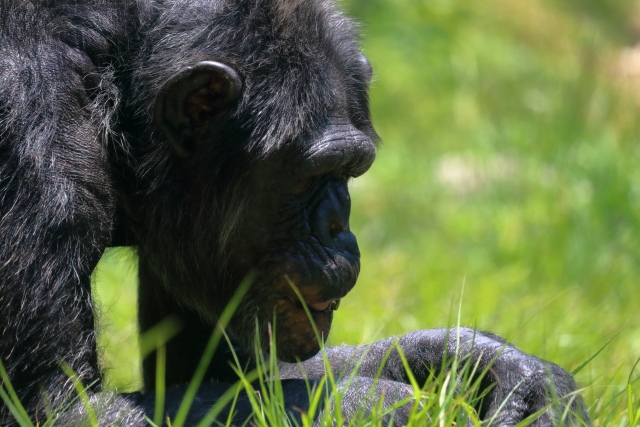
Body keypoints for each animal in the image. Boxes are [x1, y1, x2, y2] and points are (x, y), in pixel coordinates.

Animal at [0, 0, 592, 426]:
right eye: (311, 175)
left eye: (352, 171)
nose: (339, 231)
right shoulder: (26, 141)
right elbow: (64, 410)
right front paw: (391, 404)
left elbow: (236, 376)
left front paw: (500, 367)